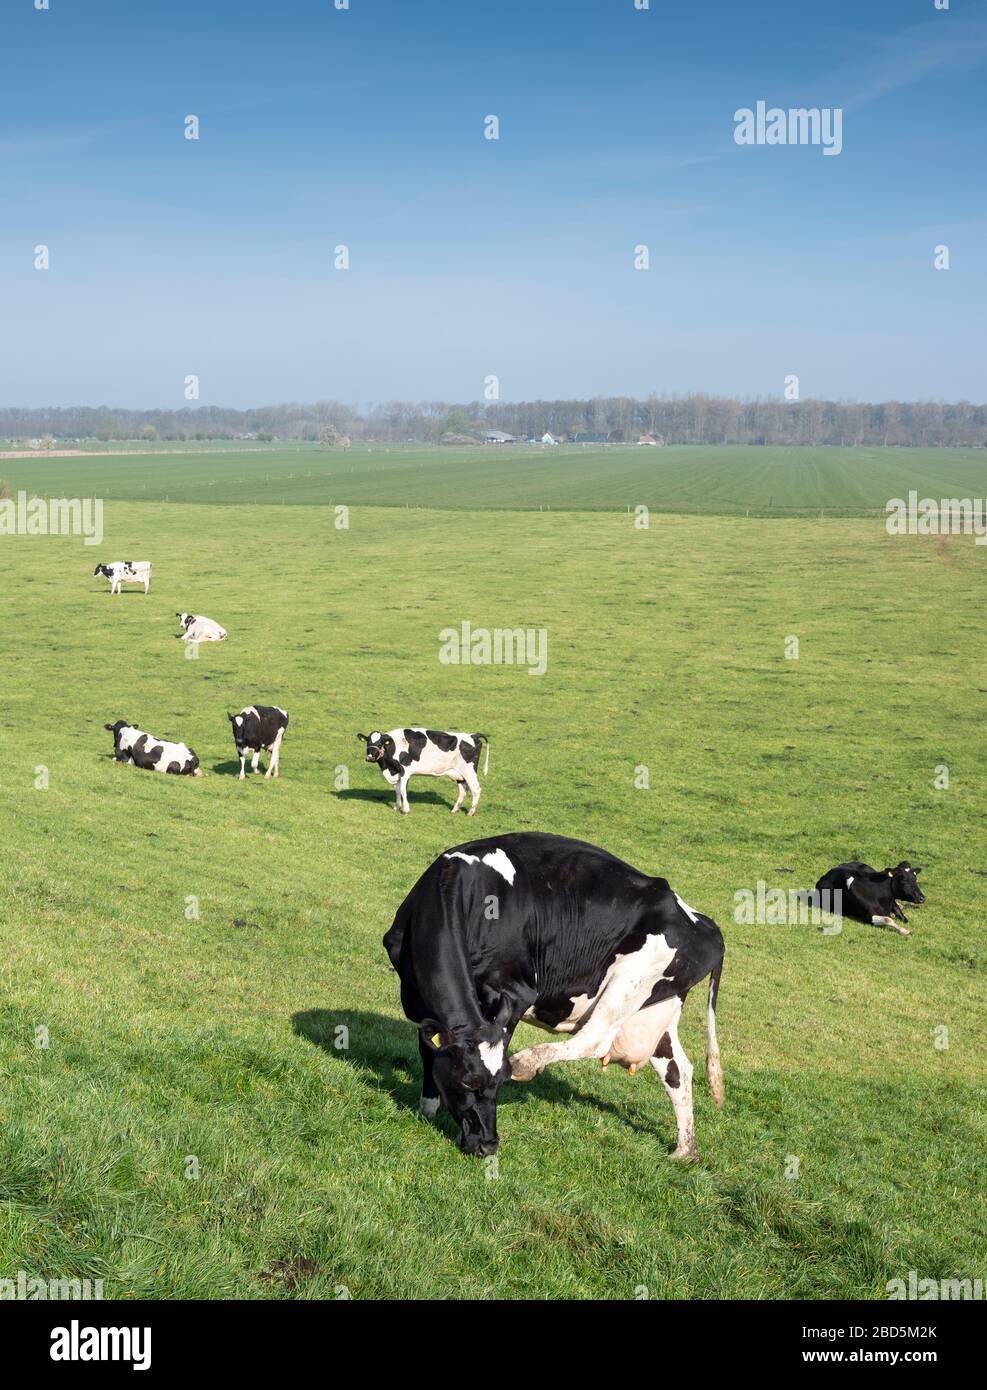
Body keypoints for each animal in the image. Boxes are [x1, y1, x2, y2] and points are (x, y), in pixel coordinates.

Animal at [357, 727, 489, 815]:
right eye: (368, 742)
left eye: (380, 743)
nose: (370, 757)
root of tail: (473, 735)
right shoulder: (397, 771)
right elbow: (397, 790)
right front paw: (396, 807)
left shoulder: (405, 771)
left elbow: (403, 790)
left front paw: (406, 810)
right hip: (459, 774)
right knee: (463, 790)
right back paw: (454, 809)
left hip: (469, 771)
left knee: (476, 789)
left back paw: (471, 812)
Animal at [383, 831, 725, 1159]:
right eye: (468, 1081)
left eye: (500, 1082)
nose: (488, 1145)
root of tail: (700, 919)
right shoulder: (414, 999)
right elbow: (428, 1051)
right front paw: (427, 1109)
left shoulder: (516, 994)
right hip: (655, 1008)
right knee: (678, 1070)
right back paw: (684, 1151)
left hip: (630, 979)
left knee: (596, 1038)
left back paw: (527, 1062)